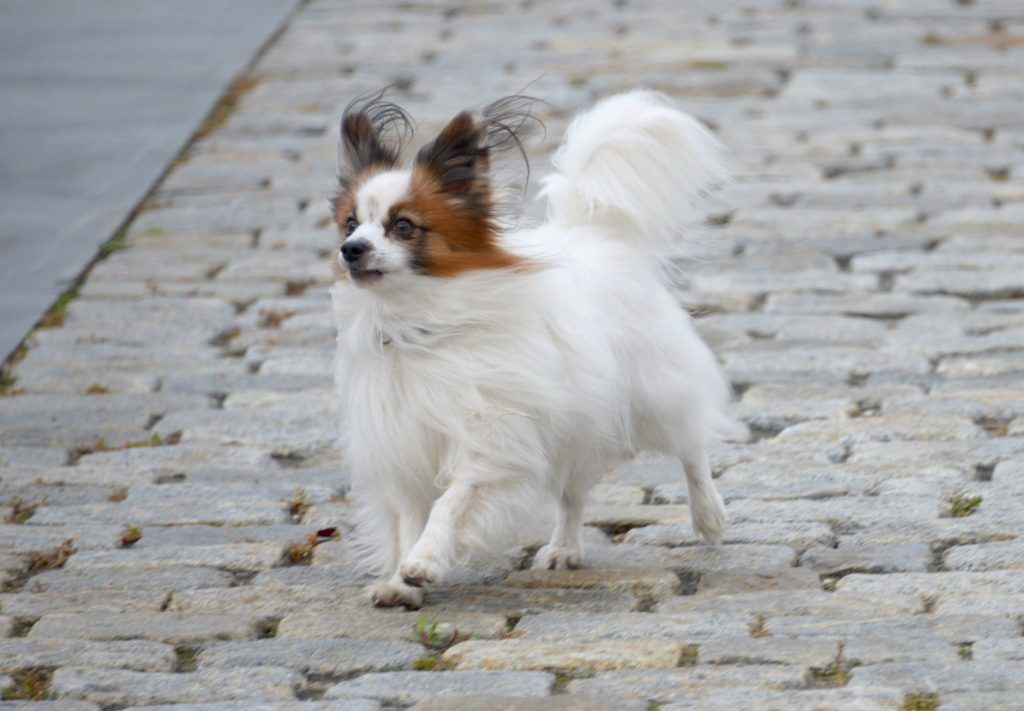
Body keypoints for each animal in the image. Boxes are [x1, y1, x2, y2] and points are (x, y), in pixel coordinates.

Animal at [331, 90, 733, 614]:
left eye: (403, 226)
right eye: (350, 224)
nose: (351, 249)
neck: (419, 326)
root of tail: (597, 234)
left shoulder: (491, 441)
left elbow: (449, 504)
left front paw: (424, 561)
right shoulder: (401, 444)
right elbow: (406, 519)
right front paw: (399, 581)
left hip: (652, 396)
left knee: (691, 448)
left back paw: (708, 516)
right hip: (576, 420)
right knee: (573, 492)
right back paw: (564, 548)